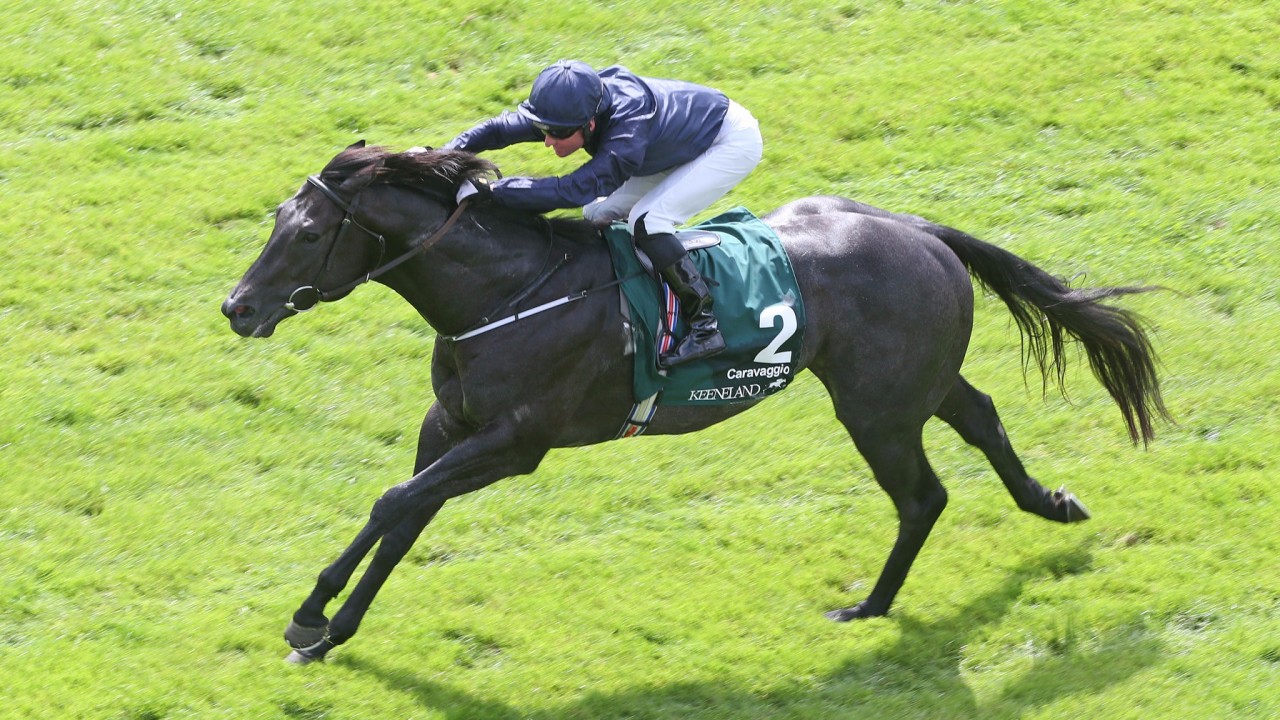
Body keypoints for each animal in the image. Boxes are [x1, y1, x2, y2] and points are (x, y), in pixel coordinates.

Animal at [222, 142, 1168, 663]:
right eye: (276, 220)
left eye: (310, 232)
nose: (237, 307)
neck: (507, 290)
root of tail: (917, 228)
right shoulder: (450, 426)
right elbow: (406, 516)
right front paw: (334, 628)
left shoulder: (517, 442)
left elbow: (394, 502)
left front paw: (310, 616)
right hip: (914, 382)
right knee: (981, 419)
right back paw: (1051, 504)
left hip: (876, 407)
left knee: (922, 496)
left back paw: (869, 605)